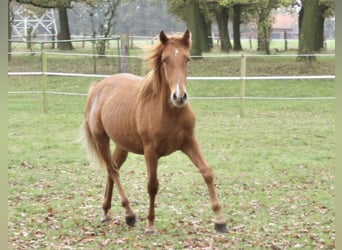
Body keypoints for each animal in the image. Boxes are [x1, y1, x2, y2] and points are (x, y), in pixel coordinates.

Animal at [81, 29, 227, 234]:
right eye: (165, 59)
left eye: (187, 58)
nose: (179, 96)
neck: (170, 111)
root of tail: (98, 88)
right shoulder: (151, 151)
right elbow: (152, 185)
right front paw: (150, 224)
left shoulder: (189, 142)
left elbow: (207, 172)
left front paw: (220, 220)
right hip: (101, 139)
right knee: (113, 170)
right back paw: (130, 214)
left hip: (122, 145)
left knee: (112, 170)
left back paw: (106, 211)